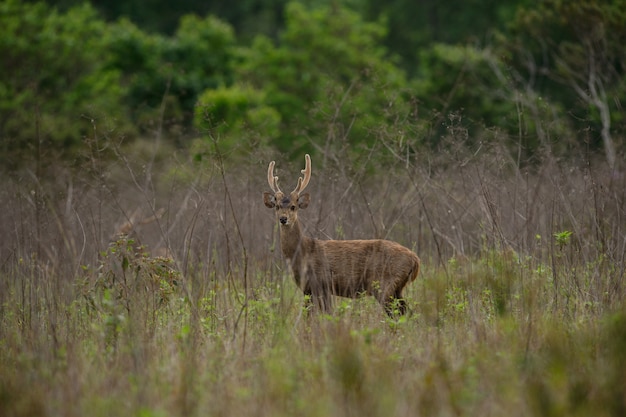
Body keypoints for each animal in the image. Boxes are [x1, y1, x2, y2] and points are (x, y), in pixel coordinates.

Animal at [264, 154, 420, 316]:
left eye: (293, 207)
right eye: (277, 206)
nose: (283, 219)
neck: (303, 253)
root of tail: (415, 260)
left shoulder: (323, 283)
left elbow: (327, 313)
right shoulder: (307, 289)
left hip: (385, 284)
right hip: (397, 288)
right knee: (407, 312)